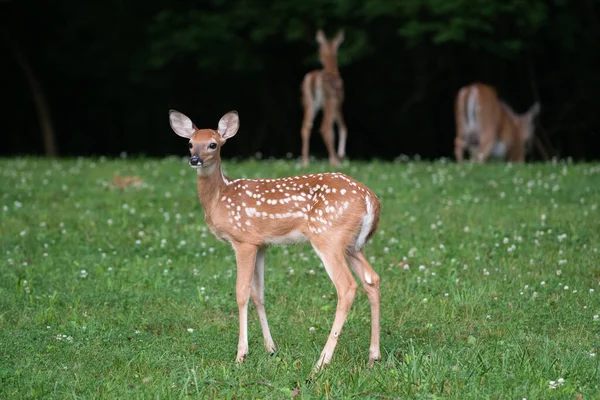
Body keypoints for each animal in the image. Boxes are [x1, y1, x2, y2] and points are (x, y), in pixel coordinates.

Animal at [170, 108, 380, 372]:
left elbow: (241, 293)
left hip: (328, 237)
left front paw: (241, 354)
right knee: (372, 279)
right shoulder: (262, 245)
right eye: (189, 143)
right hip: (351, 244)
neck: (220, 197)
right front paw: (270, 348)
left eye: (213, 144)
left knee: (347, 286)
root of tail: (370, 199)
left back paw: (321, 362)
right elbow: (258, 295)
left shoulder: (244, 241)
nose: (194, 159)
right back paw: (373, 356)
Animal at [300, 29, 346, 167]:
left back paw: (305, 162)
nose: (319, 57)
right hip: (329, 99)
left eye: (318, 48)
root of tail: (314, 78)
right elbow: (343, 127)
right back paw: (335, 161)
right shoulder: (339, 101)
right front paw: (341, 154)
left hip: (308, 101)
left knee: (306, 126)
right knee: (325, 127)